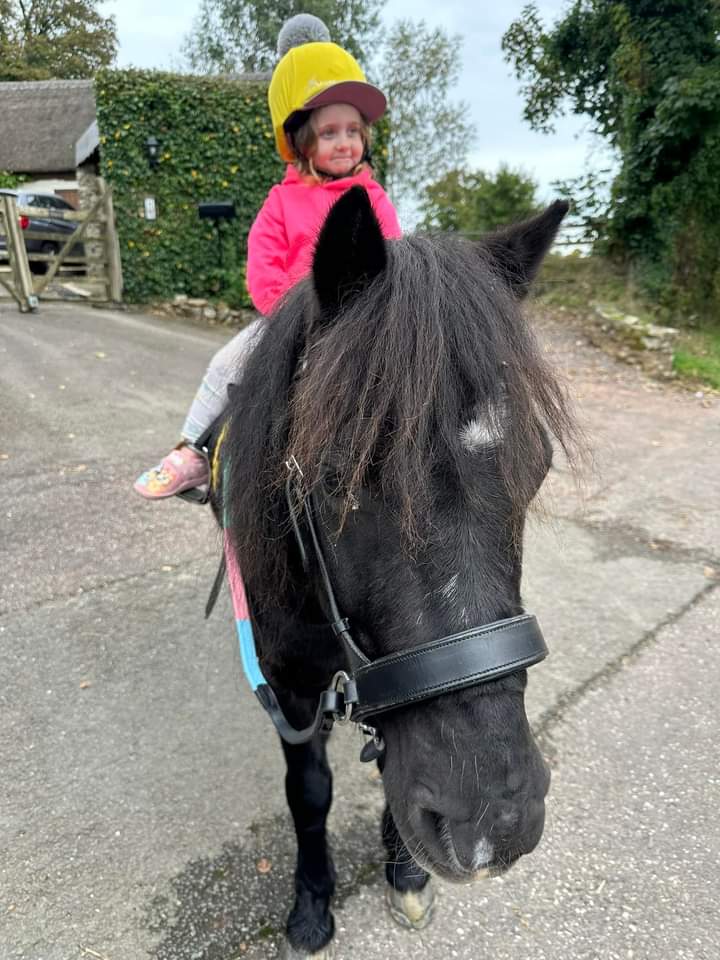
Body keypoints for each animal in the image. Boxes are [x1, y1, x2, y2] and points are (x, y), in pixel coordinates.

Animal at [217, 186, 575, 958]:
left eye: (537, 467)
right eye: (334, 478)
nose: (496, 823)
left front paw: (405, 873)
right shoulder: (290, 689)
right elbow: (309, 791)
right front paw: (312, 903)